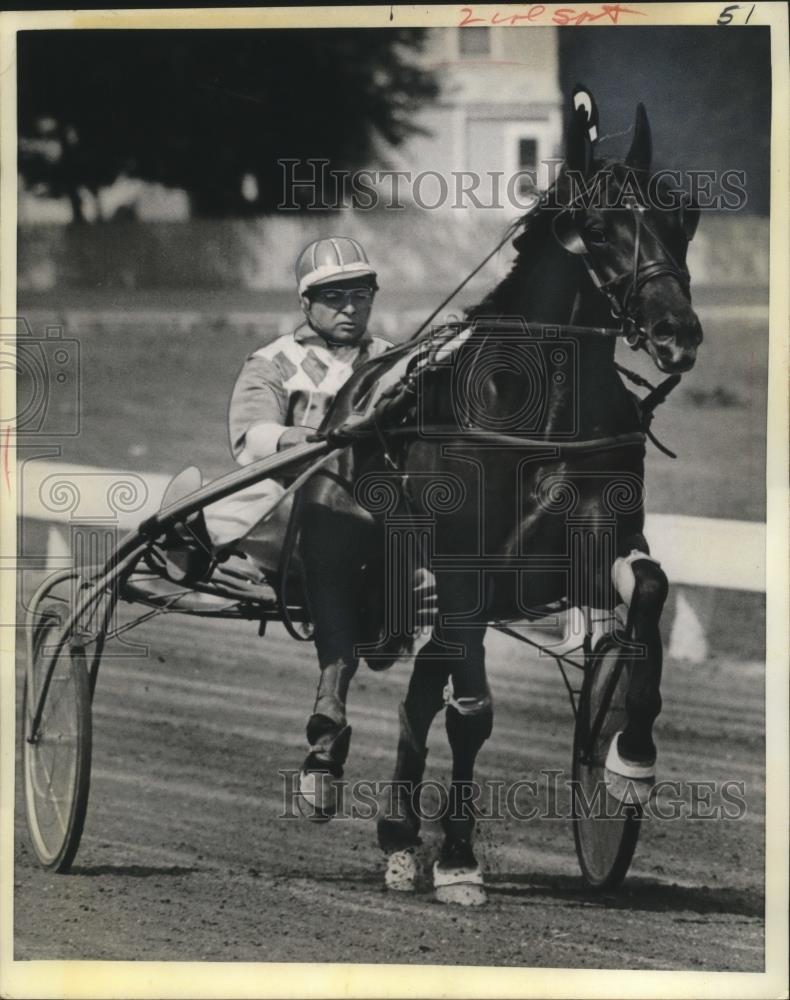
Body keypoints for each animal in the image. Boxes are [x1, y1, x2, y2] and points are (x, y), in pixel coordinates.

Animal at [294, 86, 704, 904]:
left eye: (680, 217)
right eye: (599, 229)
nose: (679, 331)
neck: (543, 410)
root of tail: (353, 398)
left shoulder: (591, 546)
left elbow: (646, 594)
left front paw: (627, 757)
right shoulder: (465, 571)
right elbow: (472, 716)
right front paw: (458, 858)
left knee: (420, 691)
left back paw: (399, 835)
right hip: (342, 549)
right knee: (340, 656)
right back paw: (325, 762)